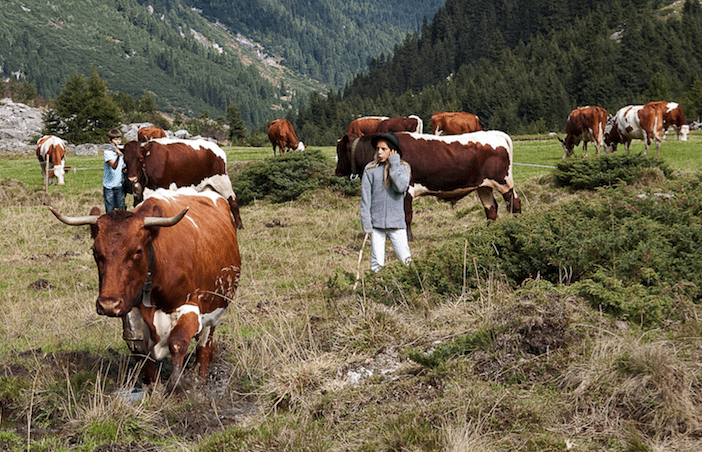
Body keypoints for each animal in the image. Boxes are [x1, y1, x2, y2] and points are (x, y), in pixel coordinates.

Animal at [49, 187, 242, 388]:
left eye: (138, 251)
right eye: (95, 251)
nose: (108, 305)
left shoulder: (189, 306)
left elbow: (177, 343)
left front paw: (178, 385)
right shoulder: (132, 315)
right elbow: (142, 355)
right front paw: (155, 387)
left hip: (214, 310)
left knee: (204, 347)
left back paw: (201, 379)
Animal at [336, 131, 524, 240]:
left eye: (339, 150)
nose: (336, 170)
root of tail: (497, 134)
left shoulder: (406, 189)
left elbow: (406, 216)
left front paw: (408, 238)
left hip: (503, 181)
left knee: (514, 202)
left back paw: (517, 226)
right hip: (483, 185)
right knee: (491, 208)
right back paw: (490, 231)